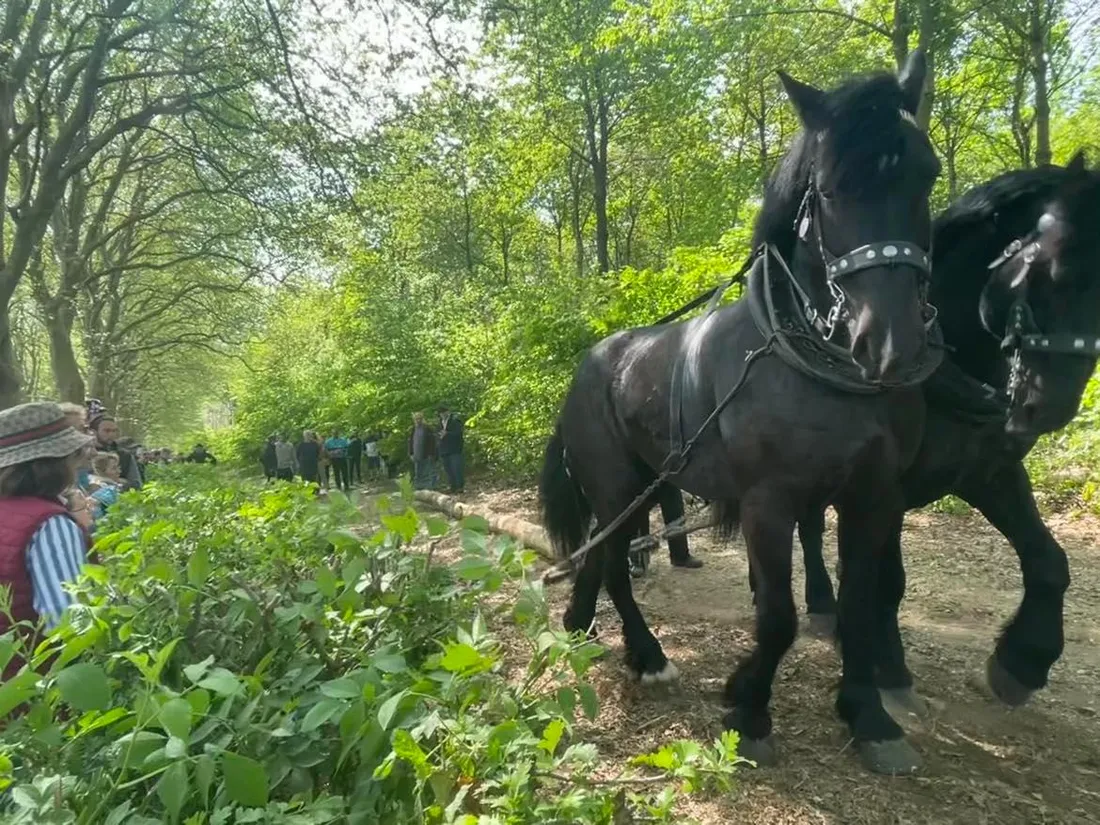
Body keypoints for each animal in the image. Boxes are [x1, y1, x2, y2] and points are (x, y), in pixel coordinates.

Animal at [536, 55, 941, 778]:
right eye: (829, 190)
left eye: (928, 173)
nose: (890, 345)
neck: (820, 369)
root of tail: (590, 364)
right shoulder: (768, 502)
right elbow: (778, 617)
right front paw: (748, 708)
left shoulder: (875, 497)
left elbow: (859, 610)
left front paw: (868, 717)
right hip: (615, 483)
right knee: (614, 562)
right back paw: (649, 655)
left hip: (645, 485)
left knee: (602, 556)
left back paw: (586, 630)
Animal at [778, 158, 1100, 712]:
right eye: (1052, 272)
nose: (1049, 406)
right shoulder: (886, 489)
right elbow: (888, 580)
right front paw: (887, 668)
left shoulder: (990, 471)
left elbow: (1049, 561)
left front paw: (1023, 661)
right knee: (810, 528)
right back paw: (822, 605)